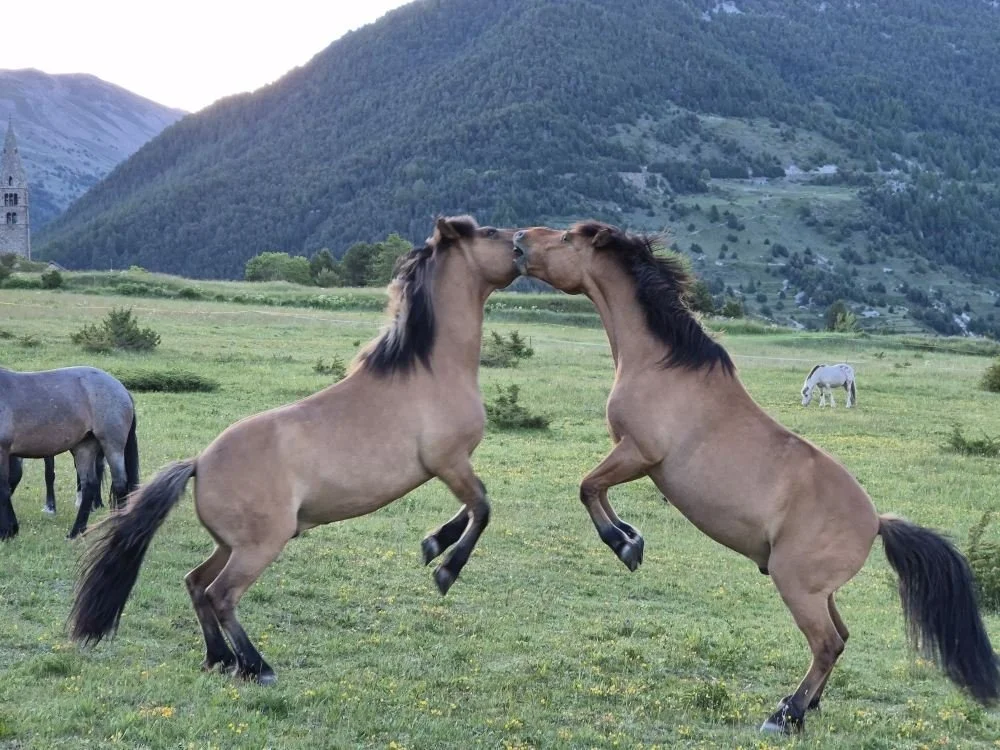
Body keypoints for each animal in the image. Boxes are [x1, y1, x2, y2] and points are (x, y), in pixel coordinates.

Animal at [0, 367, 138, 540]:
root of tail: (121, 388)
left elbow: (3, 488)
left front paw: (7, 532)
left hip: (112, 445)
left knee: (120, 484)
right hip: (84, 447)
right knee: (89, 485)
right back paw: (76, 532)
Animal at [69, 216, 520, 686]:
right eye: (490, 233)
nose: (524, 243)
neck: (430, 371)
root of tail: (199, 464)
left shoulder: (452, 466)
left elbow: (473, 506)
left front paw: (434, 544)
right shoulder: (448, 461)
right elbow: (482, 506)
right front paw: (446, 567)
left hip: (230, 546)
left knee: (195, 584)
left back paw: (219, 658)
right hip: (258, 548)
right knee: (220, 594)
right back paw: (256, 666)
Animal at [513, 222, 998, 733]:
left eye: (567, 238)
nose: (520, 238)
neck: (662, 366)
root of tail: (877, 522)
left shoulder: (639, 453)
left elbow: (588, 486)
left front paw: (623, 545)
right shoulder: (632, 456)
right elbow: (597, 490)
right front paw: (632, 539)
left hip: (796, 585)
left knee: (826, 644)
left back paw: (785, 715)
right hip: (819, 592)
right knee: (841, 638)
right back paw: (802, 706)